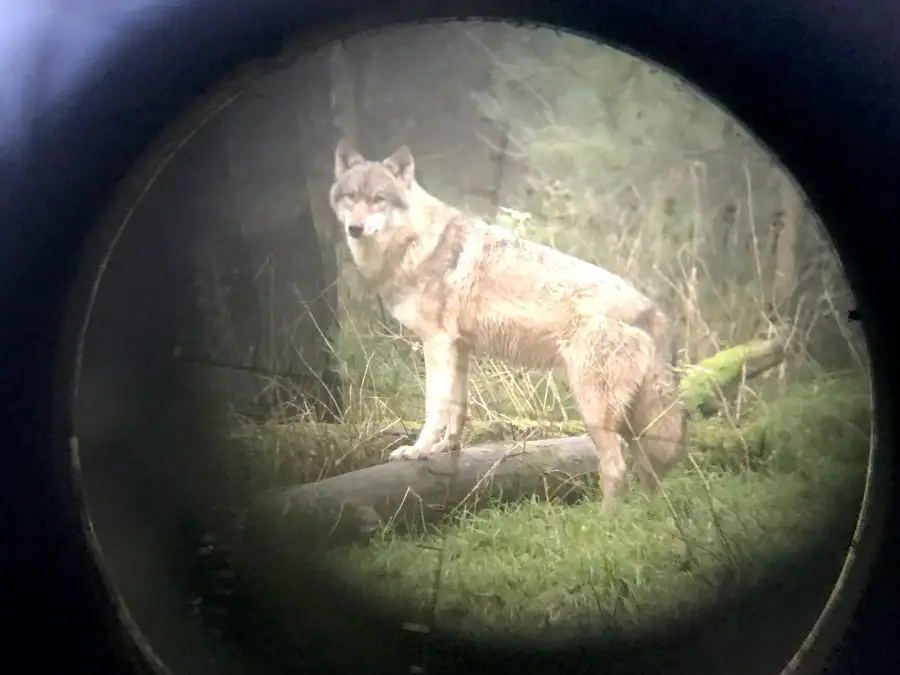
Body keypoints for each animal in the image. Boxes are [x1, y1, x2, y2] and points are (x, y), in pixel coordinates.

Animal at [329, 139, 687, 505]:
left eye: (378, 199)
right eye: (351, 196)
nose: (354, 228)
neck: (417, 243)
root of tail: (655, 312)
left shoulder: (437, 343)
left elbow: (435, 406)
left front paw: (418, 451)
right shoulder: (460, 347)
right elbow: (458, 407)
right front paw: (447, 448)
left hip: (595, 412)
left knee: (617, 470)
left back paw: (605, 519)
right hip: (630, 422)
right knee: (649, 473)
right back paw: (649, 514)